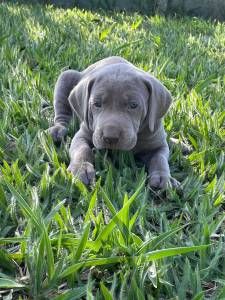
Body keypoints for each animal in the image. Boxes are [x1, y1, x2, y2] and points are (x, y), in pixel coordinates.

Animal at [48, 56, 179, 188]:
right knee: (62, 115)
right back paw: (58, 130)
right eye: (97, 104)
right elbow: (82, 149)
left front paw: (164, 178)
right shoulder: (83, 134)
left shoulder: (157, 142)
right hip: (66, 76)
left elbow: (160, 159)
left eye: (133, 105)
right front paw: (82, 169)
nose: (110, 137)